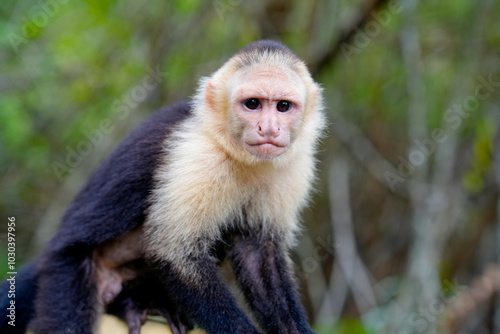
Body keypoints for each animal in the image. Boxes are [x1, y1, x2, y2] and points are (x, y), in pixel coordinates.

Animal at [0, 39, 326, 334]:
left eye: (283, 106)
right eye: (253, 104)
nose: (268, 129)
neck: (240, 154)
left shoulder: (294, 167)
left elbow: (258, 254)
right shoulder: (198, 157)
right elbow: (175, 253)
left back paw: (131, 305)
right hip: (64, 270)